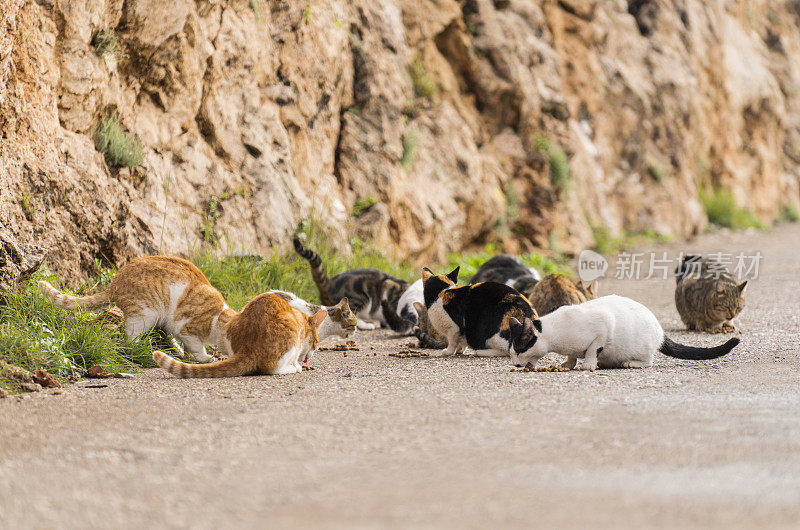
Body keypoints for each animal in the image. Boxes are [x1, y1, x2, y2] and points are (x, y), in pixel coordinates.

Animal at [39, 256, 234, 364]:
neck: (218, 318)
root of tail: (117, 279)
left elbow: (188, 348)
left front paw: (186, 355)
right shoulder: (184, 328)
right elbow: (196, 346)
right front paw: (205, 357)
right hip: (146, 313)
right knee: (130, 336)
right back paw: (142, 348)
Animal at [155, 292, 326, 376]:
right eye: (317, 343)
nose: (311, 355)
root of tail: (247, 349)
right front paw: (297, 365)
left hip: (232, 324)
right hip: (289, 334)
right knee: (271, 369)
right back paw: (291, 369)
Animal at [510, 294, 740, 370]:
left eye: (519, 351)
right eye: (511, 353)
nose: (515, 364)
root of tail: (660, 331)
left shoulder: (604, 325)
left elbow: (593, 349)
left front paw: (588, 364)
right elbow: (572, 356)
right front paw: (566, 364)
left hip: (643, 349)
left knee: (649, 361)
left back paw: (630, 363)